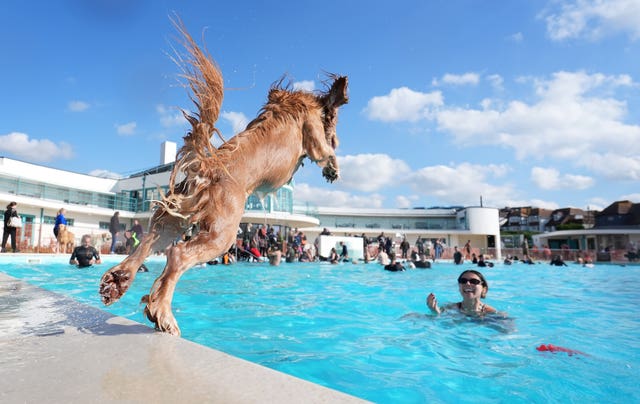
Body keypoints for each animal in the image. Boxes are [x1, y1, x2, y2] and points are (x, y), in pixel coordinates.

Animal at [97, 21, 348, 334]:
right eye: (334, 129)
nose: (337, 139)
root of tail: (208, 167)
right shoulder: (312, 137)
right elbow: (325, 152)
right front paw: (333, 167)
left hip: (175, 218)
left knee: (147, 242)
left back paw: (117, 282)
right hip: (223, 233)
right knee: (177, 256)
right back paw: (163, 315)